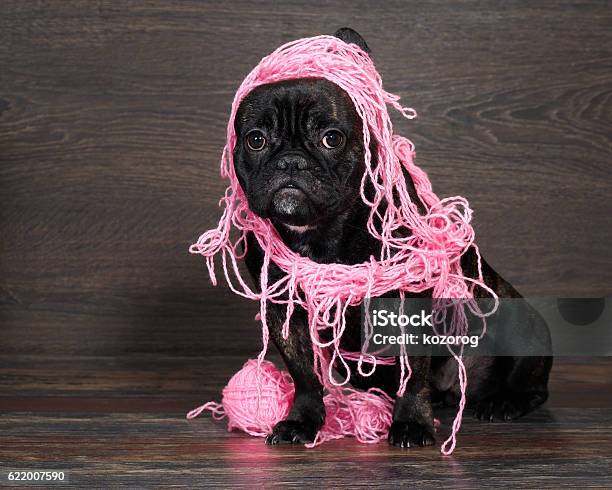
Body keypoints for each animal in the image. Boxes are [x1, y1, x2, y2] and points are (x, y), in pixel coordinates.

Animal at [232, 26, 552, 448]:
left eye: (332, 138)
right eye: (256, 140)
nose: (291, 162)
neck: (321, 227)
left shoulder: (410, 294)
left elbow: (413, 371)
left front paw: (412, 422)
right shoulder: (284, 306)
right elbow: (305, 374)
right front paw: (302, 420)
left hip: (521, 323)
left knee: (532, 385)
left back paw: (503, 402)